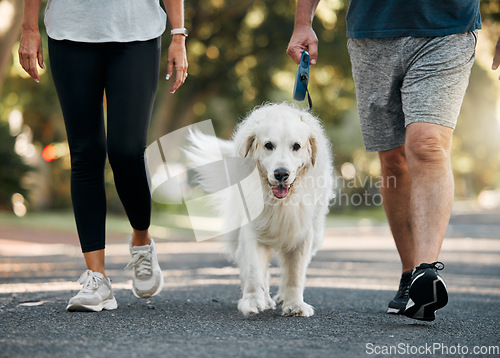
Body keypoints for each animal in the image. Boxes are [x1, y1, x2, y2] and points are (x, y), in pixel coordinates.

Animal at [186, 103, 334, 316]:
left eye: (296, 146)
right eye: (268, 145)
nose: (281, 173)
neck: (280, 203)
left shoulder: (302, 233)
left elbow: (295, 273)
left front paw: (295, 304)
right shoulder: (252, 231)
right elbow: (254, 270)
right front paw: (253, 301)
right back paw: (265, 298)